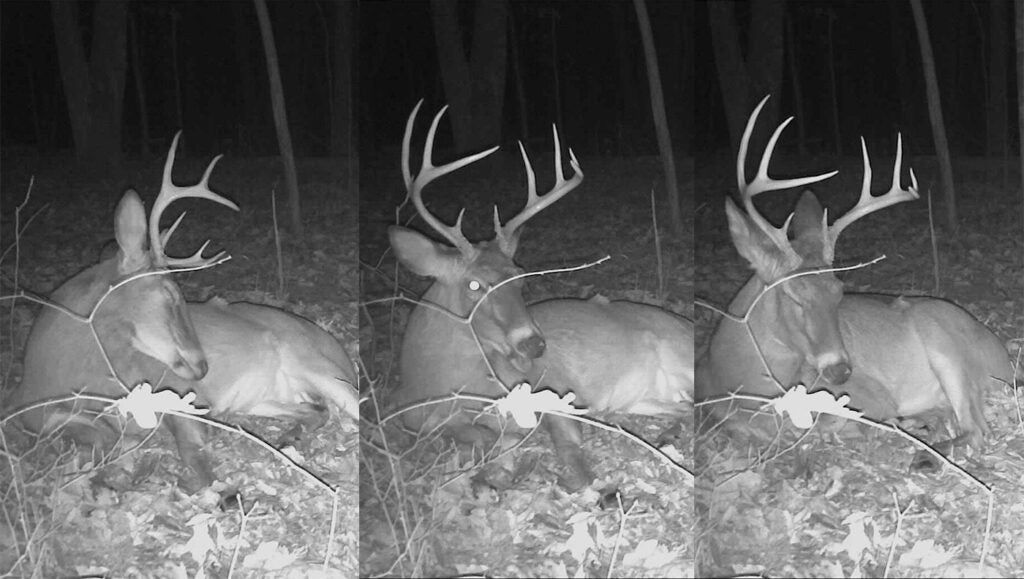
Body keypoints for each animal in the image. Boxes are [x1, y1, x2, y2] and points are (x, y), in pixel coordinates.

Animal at [9, 134, 359, 489]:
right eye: (170, 293)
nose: (203, 366)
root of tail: (337, 347)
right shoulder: (39, 416)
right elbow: (98, 439)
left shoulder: (174, 388)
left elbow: (191, 451)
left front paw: (217, 491)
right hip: (263, 398)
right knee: (317, 411)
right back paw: (288, 437)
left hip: (319, 366)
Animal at [389, 102, 693, 491]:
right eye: (474, 285)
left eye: (520, 279)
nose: (534, 345)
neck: (433, 383)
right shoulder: (419, 420)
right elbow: (479, 435)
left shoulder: (553, 384)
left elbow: (563, 444)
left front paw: (587, 486)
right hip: (641, 400)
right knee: (684, 408)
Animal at [696, 96, 1013, 457]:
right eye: (792, 295)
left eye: (838, 291)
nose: (841, 370)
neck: (727, 371)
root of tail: (1004, 357)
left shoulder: (871, 395)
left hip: (945, 343)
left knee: (977, 428)